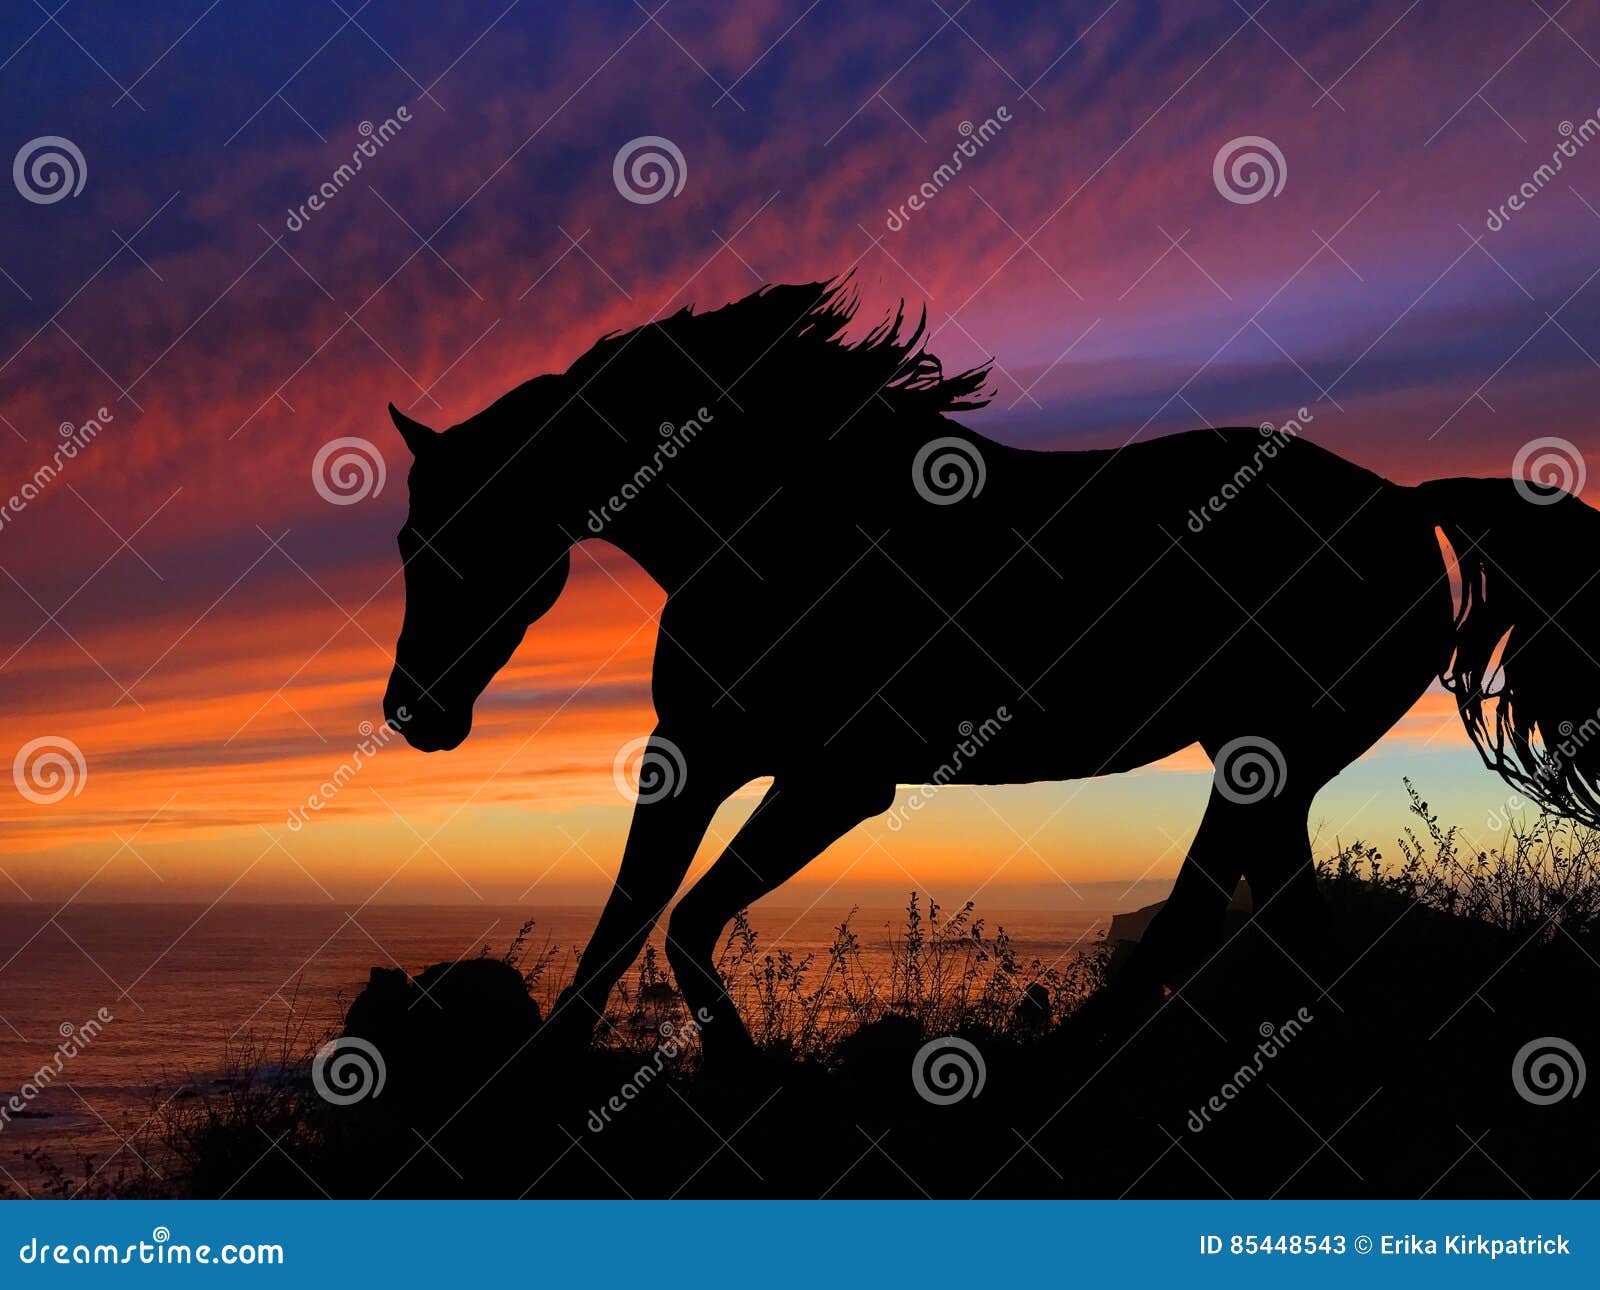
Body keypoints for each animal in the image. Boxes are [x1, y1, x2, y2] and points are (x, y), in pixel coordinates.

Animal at [381, 278, 1600, 1058]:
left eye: (448, 542)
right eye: (404, 542)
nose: (413, 715)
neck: (780, 525)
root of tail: (1402, 500)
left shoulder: (835, 781)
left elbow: (674, 920)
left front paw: (730, 1066)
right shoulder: (696, 752)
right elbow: (628, 918)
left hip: (1274, 752)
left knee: (1216, 913)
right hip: (1259, 758)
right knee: (1259, 912)